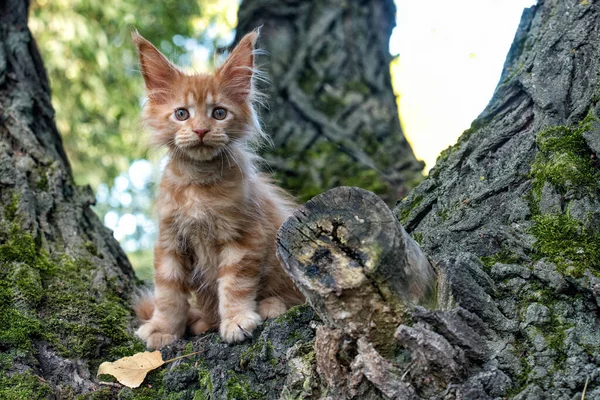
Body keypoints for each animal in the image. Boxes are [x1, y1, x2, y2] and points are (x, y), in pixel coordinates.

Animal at [134, 29, 308, 348]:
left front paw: (237, 319)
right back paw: (203, 322)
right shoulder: (169, 241)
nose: (201, 130)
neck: (198, 186)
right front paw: (163, 328)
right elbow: (168, 293)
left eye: (218, 113)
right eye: (181, 114)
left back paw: (269, 305)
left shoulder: (243, 236)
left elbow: (234, 284)